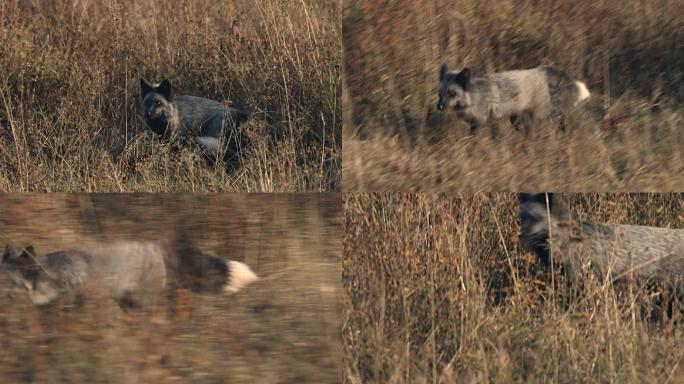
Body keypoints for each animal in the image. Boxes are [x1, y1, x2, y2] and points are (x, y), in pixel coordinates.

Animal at [438, 65, 592, 136]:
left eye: (452, 93)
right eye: (440, 94)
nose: (439, 107)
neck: (475, 94)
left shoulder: (482, 121)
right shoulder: (492, 121)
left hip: (545, 112)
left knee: (561, 117)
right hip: (518, 119)